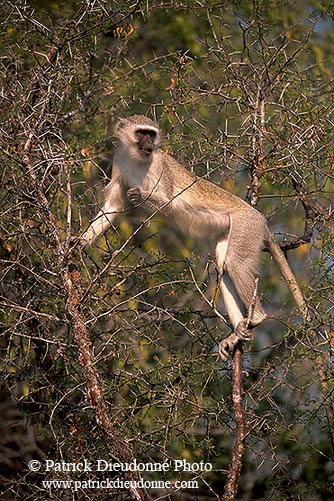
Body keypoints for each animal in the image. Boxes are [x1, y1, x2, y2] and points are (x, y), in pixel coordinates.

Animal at [79, 114, 306, 360]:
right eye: (141, 133)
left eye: (151, 134)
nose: (149, 144)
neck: (137, 159)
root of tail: (261, 219)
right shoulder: (119, 160)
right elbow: (111, 208)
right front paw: (77, 243)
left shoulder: (159, 165)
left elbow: (168, 203)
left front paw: (138, 195)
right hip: (233, 230)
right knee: (222, 266)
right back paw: (237, 333)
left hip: (247, 226)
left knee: (234, 263)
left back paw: (256, 318)